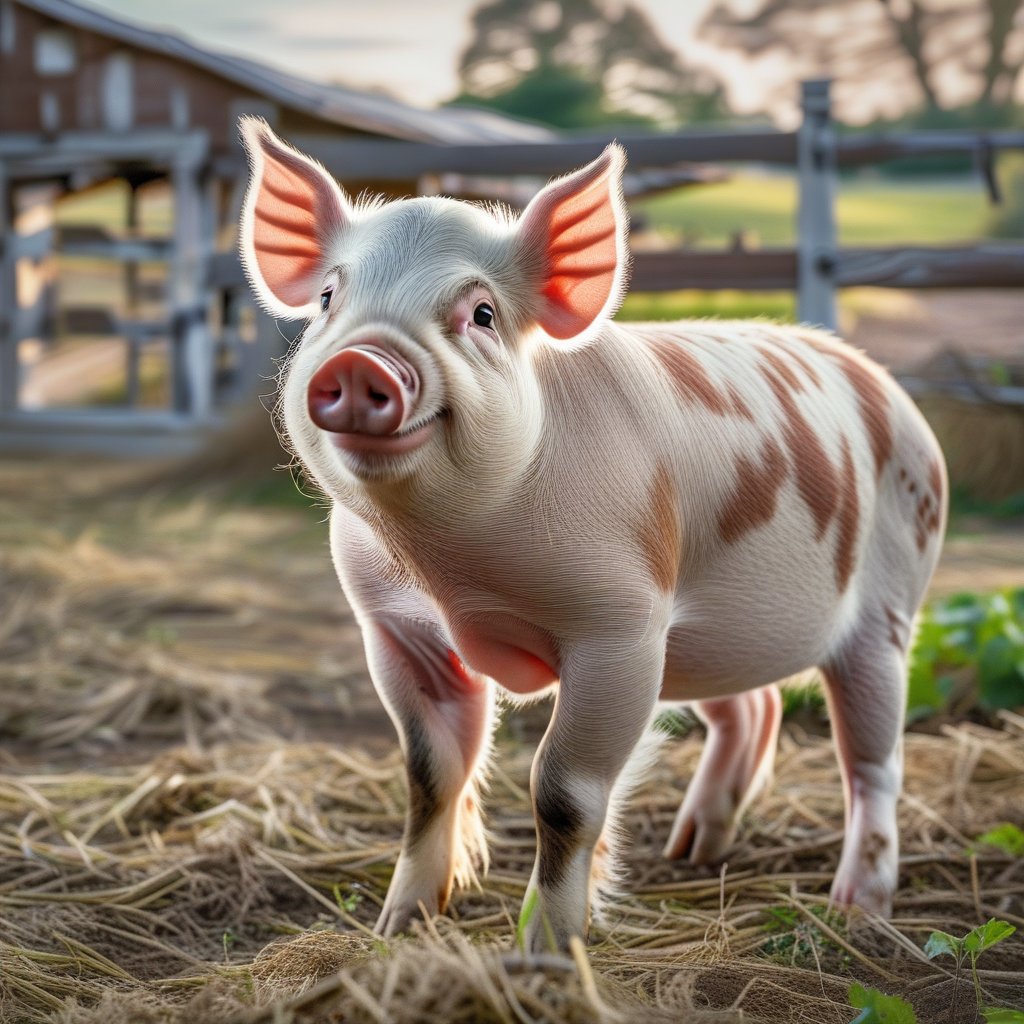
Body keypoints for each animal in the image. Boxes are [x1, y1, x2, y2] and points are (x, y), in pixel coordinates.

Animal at [237, 119, 942, 950]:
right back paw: (692, 850)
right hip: (706, 639)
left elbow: (563, 791)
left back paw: (856, 910)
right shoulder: (395, 628)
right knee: (753, 709)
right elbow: (428, 774)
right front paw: (397, 928)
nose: (357, 362)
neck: (450, 564)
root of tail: (892, 394)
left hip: (889, 608)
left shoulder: (620, 630)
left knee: (874, 764)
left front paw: (546, 951)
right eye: (327, 298)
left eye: (481, 314)